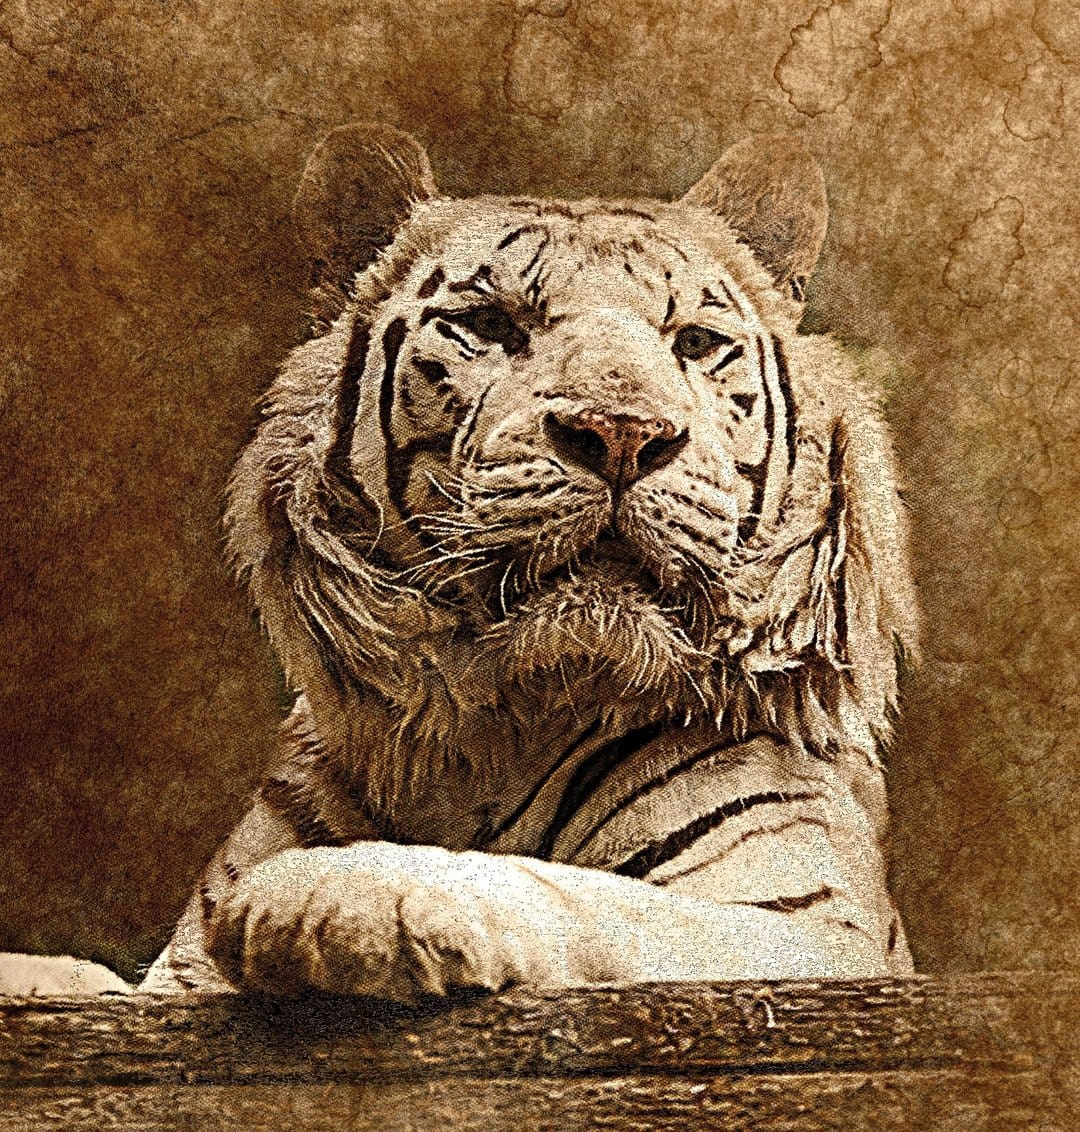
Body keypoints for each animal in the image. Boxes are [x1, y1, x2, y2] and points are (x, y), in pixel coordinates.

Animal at [137, 121, 920, 998]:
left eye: (695, 342)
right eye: (489, 324)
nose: (620, 432)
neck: (497, 730)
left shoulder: (809, 924)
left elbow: (593, 898)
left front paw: (326, 891)